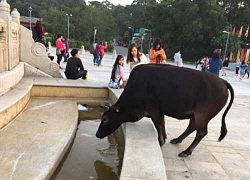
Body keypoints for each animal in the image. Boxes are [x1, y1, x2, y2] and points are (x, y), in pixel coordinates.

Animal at [96, 64, 234, 157]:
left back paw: (186, 151)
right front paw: (165, 137)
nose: (97, 134)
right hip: (196, 115)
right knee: (192, 126)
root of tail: (223, 81)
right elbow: (162, 124)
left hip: (202, 115)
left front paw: (160, 142)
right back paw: (177, 140)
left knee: (201, 132)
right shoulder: (159, 111)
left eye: (105, 119)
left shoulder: (154, 110)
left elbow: (158, 125)